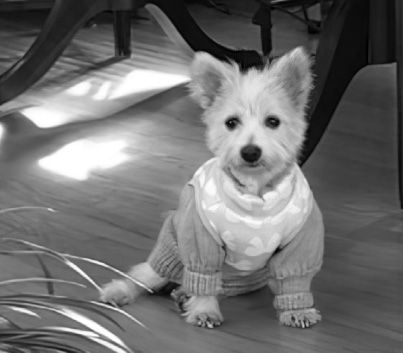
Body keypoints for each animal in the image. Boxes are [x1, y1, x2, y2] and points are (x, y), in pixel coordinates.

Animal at [101, 46, 326, 328]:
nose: (250, 152)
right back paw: (120, 290)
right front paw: (205, 310)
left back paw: (183, 294)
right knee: (144, 275)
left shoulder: (299, 245)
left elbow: (295, 279)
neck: (255, 194)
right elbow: (203, 276)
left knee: (200, 285)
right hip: (171, 254)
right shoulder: (201, 242)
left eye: (273, 122)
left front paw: (298, 311)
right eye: (231, 122)